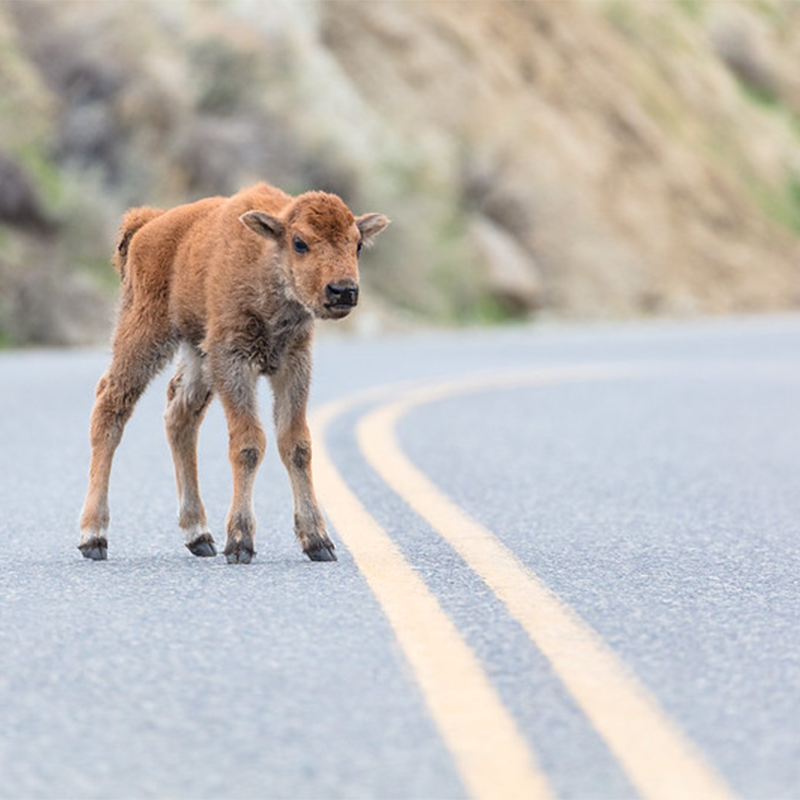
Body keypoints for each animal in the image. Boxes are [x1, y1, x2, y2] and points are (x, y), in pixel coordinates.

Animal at [77, 181, 388, 564]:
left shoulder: (293, 363)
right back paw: (94, 537)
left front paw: (318, 541)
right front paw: (240, 542)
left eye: (357, 243)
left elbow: (296, 444)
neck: (266, 261)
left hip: (197, 354)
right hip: (145, 335)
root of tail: (148, 224)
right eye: (300, 242)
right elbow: (248, 443)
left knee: (180, 415)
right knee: (111, 407)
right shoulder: (233, 361)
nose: (343, 290)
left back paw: (199, 535)